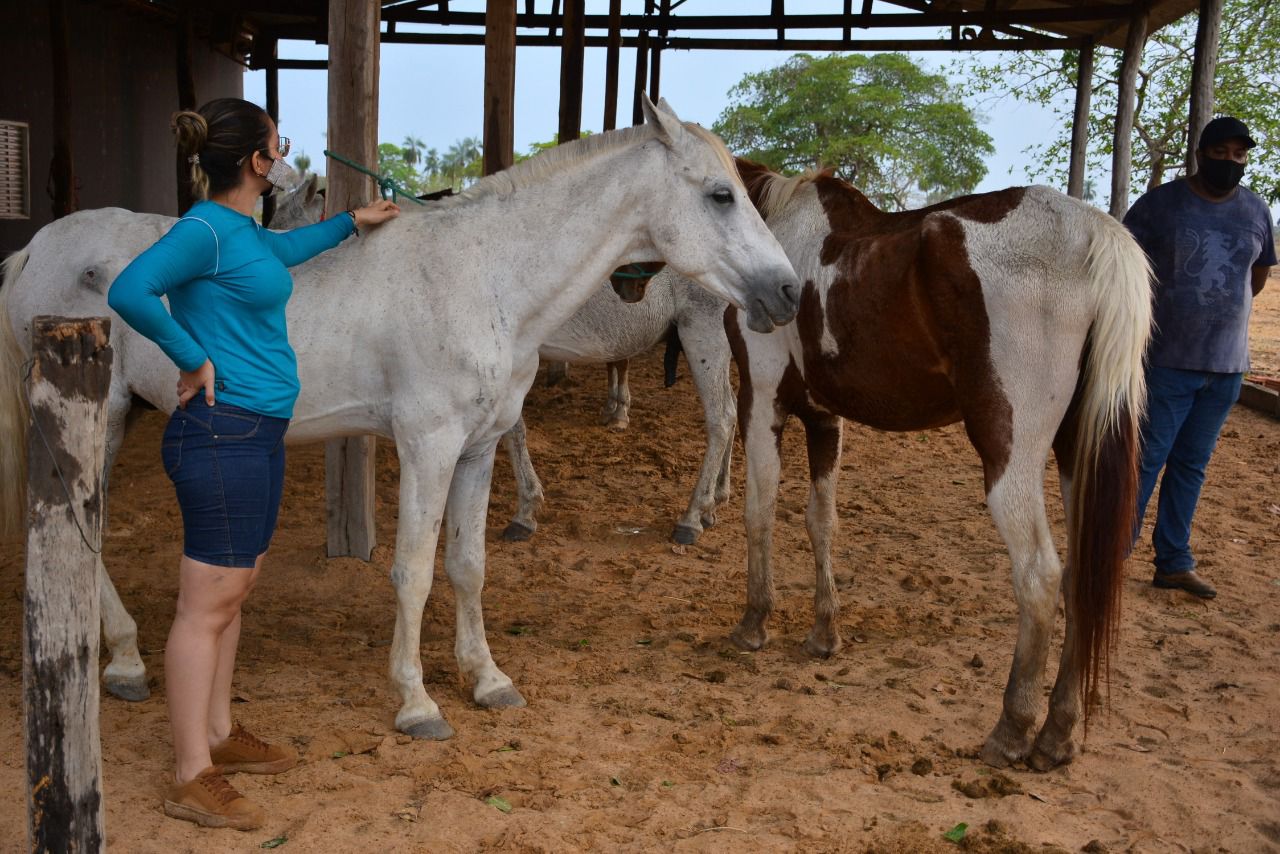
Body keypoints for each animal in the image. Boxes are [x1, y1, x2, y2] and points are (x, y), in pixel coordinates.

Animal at [501, 270, 737, 545]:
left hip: (704, 332)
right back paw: (714, 503)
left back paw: (692, 518)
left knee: (721, 418)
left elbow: (512, 430)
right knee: (732, 409)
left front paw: (524, 513)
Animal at [727, 156, 1157, 773]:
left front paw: (754, 623)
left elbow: (758, 511)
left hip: (1009, 458)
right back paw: (1058, 734)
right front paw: (823, 633)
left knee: (1040, 577)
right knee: (1081, 578)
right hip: (1080, 453)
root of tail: (1094, 231)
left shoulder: (760, 400)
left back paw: (1012, 730)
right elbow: (820, 522)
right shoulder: (825, 419)